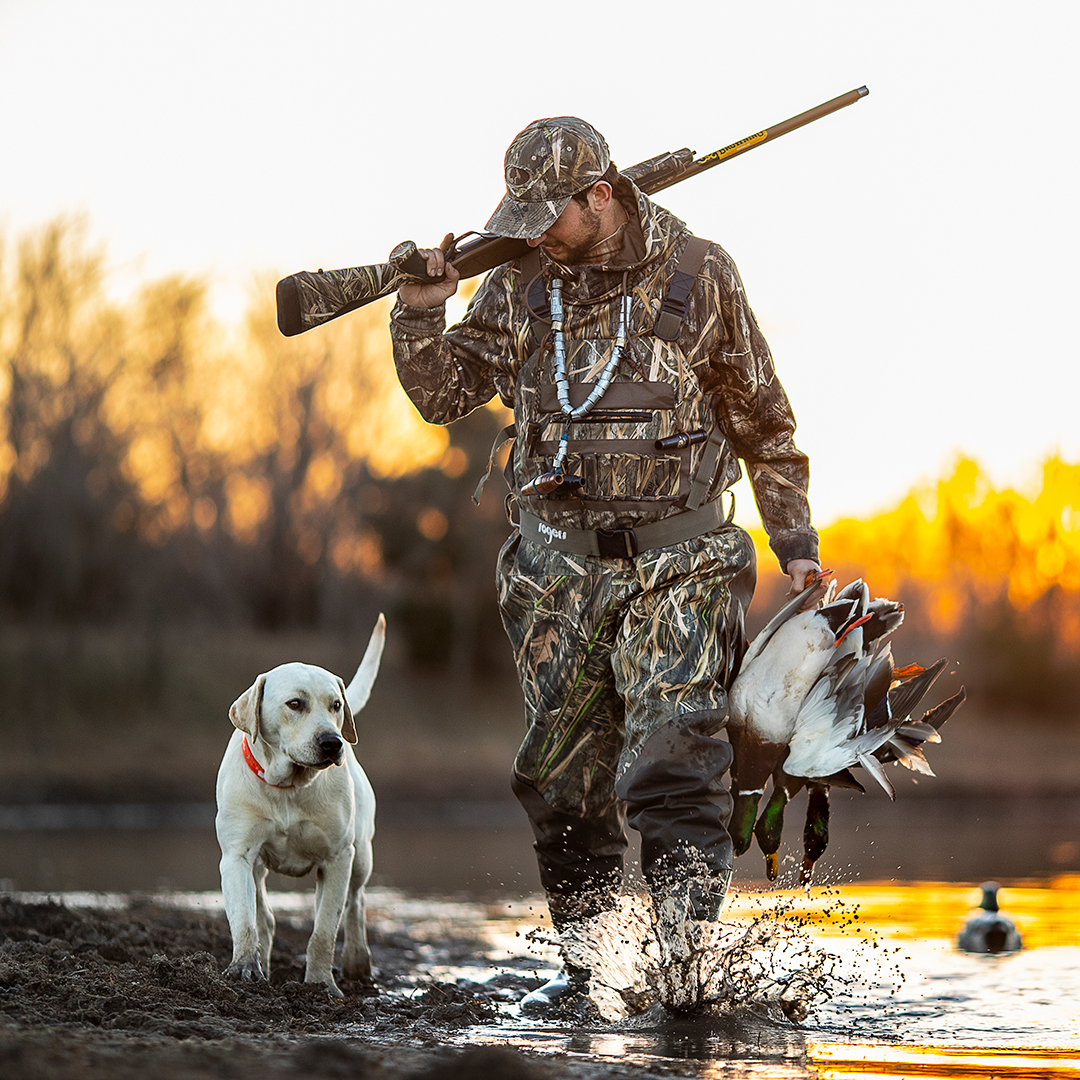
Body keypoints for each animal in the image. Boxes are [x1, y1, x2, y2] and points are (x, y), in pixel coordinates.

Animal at [213, 617, 384, 993]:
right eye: (295, 704)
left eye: (336, 705)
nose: (333, 742)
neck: (288, 787)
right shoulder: (237, 856)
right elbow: (244, 920)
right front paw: (244, 968)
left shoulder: (337, 858)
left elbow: (323, 932)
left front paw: (320, 984)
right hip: (258, 868)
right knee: (265, 917)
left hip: (361, 855)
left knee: (355, 901)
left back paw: (356, 961)